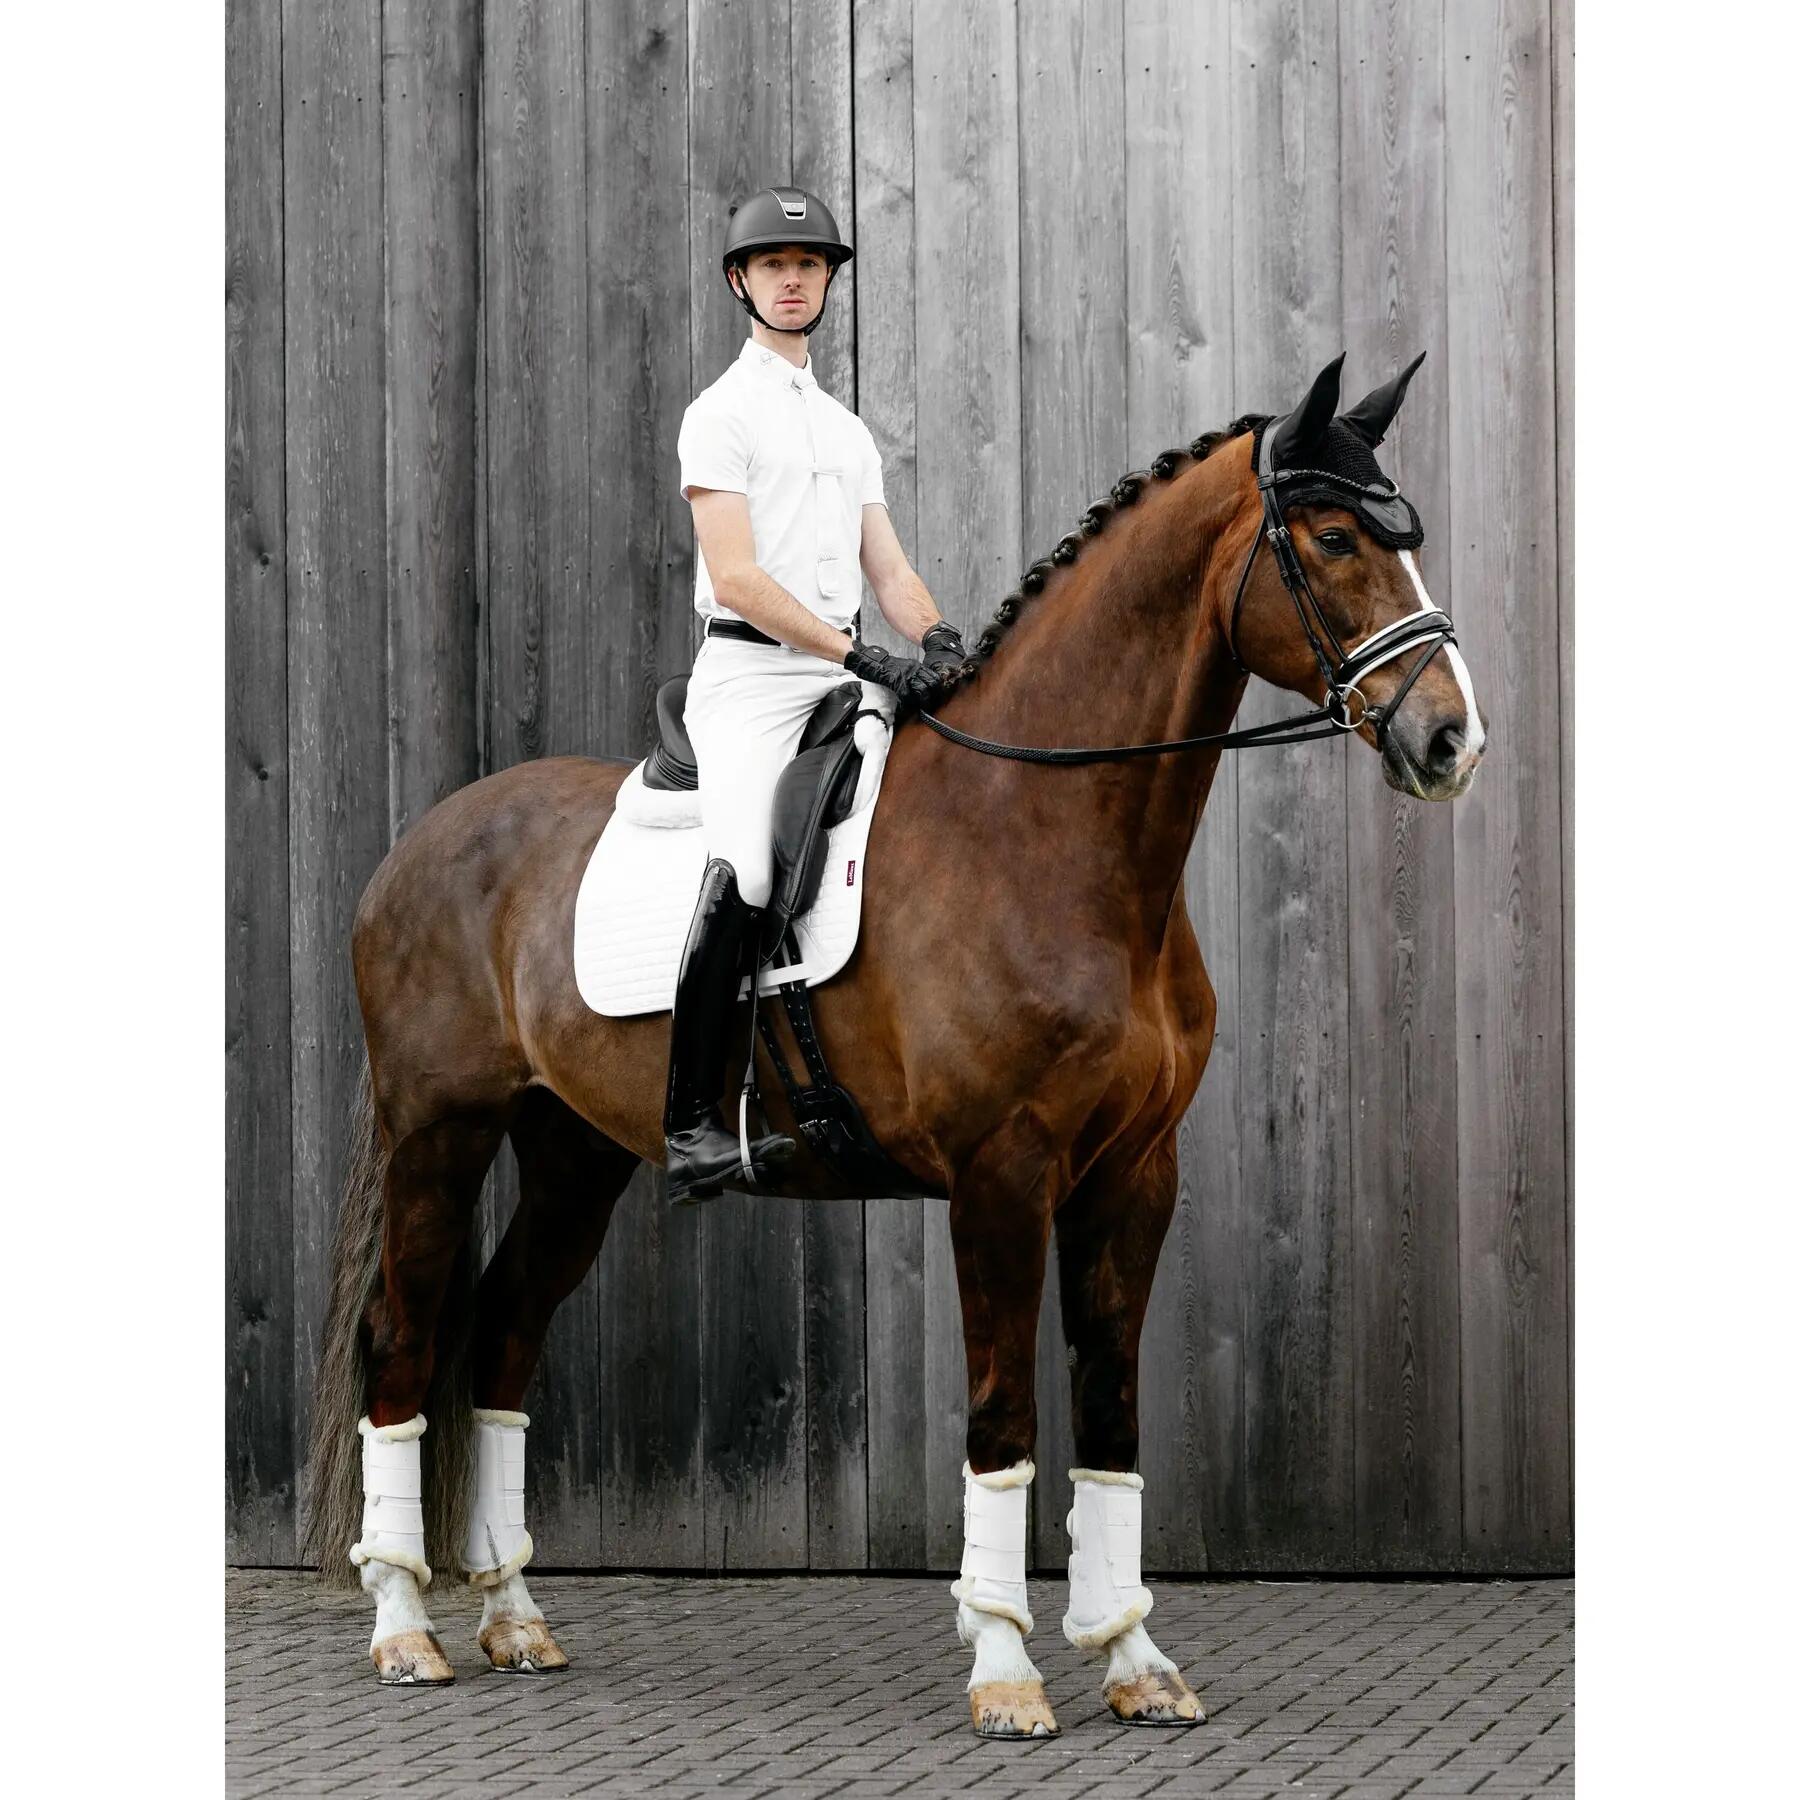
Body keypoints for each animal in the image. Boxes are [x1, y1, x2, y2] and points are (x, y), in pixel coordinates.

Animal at [303, 353, 1486, 1739]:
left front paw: (1135, 1660)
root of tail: (422, 844)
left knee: (500, 1333)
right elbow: (1002, 1415)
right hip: (437, 1134)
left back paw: (515, 1621)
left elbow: (1111, 1409)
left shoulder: (1135, 1173)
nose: (1452, 742)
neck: (1047, 829)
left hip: (573, 1153)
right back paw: (404, 1629)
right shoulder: (1001, 1176)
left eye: (1404, 537)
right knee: (406, 1340)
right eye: (1339, 539)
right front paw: (1007, 1670)